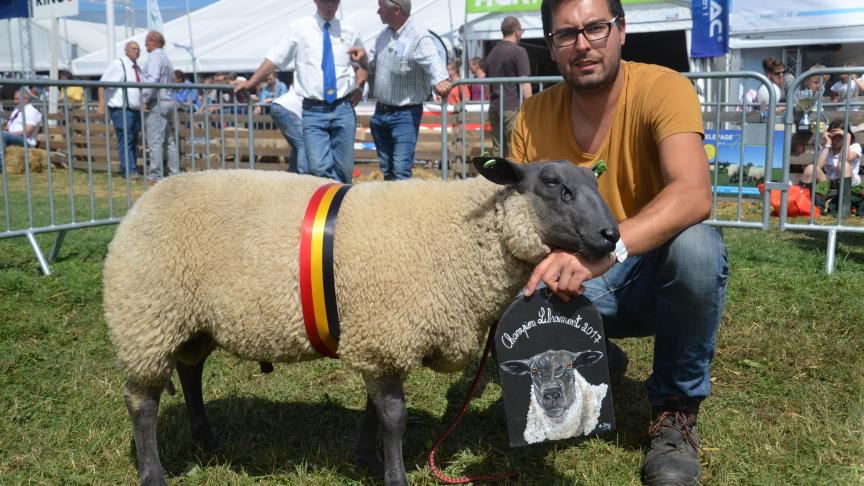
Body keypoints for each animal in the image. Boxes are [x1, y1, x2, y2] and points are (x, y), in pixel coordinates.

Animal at [104, 158, 620, 484]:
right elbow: (394, 416)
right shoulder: (384, 333)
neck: (463, 233)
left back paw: (206, 438)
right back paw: (154, 473)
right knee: (141, 402)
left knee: (190, 371)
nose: (611, 235)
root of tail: (143, 202)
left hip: (190, 320)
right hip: (147, 316)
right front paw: (393, 475)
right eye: (554, 184)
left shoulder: (377, 339)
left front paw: (366, 458)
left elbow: (376, 409)